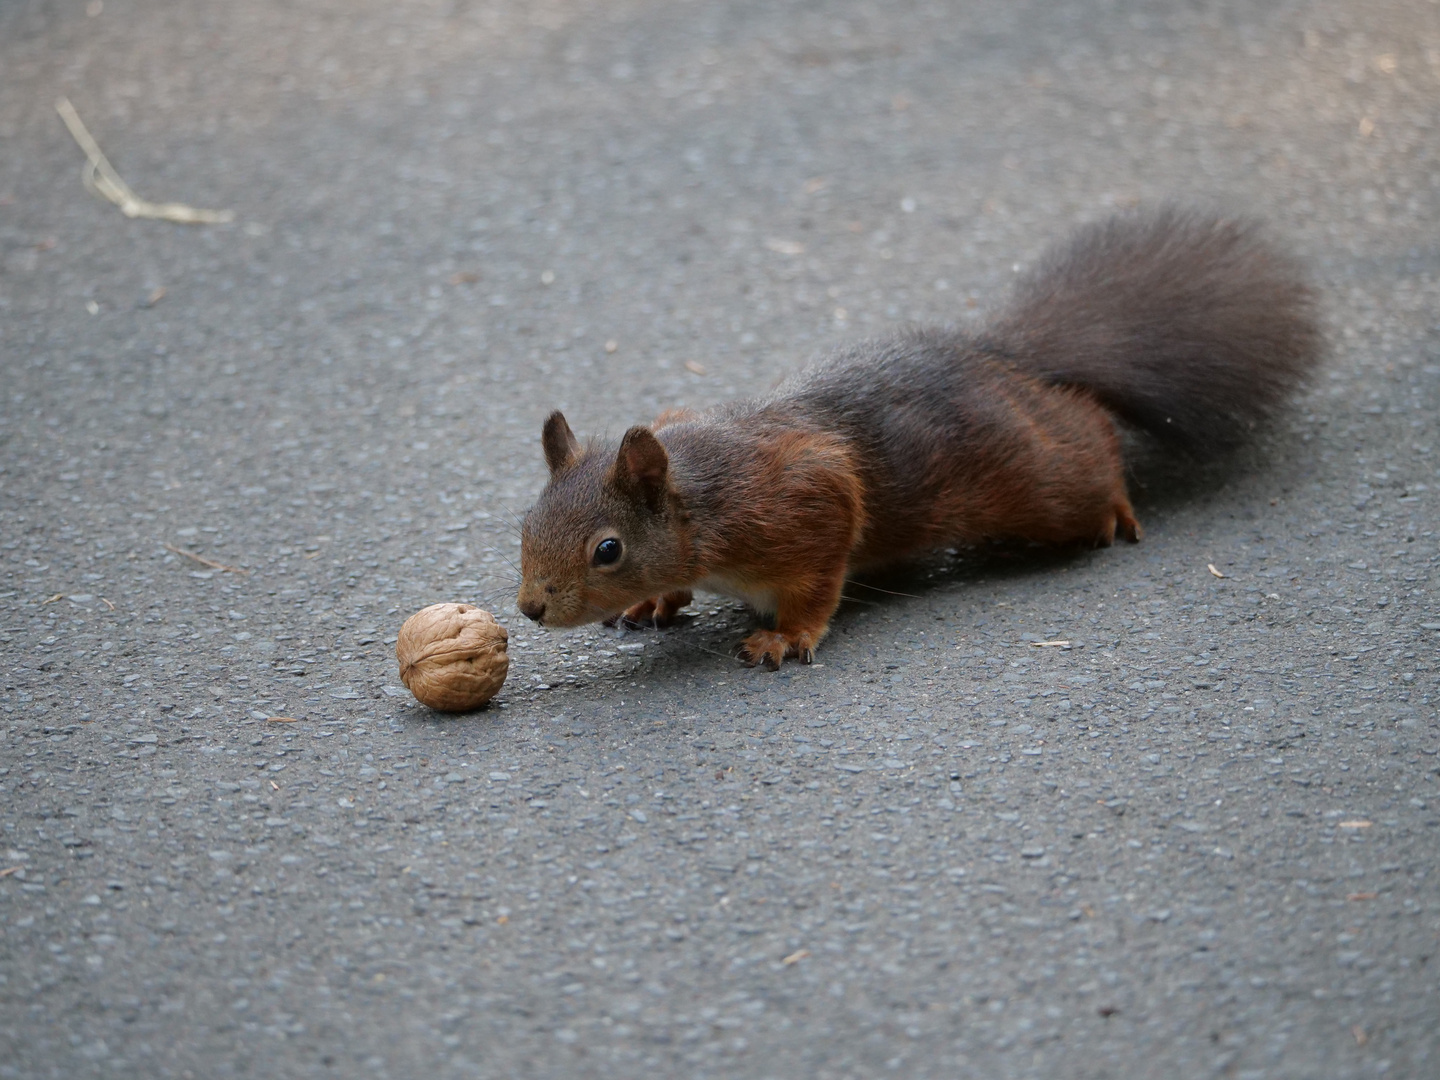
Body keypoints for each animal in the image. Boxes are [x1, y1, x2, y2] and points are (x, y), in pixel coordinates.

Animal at [512, 207, 1319, 673]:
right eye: (524, 523)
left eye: (608, 550)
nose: (529, 609)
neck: (701, 499)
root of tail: (999, 357)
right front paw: (658, 601)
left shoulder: (804, 501)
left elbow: (819, 577)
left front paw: (786, 636)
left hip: (1040, 485)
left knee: (1085, 437)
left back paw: (1114, 504)